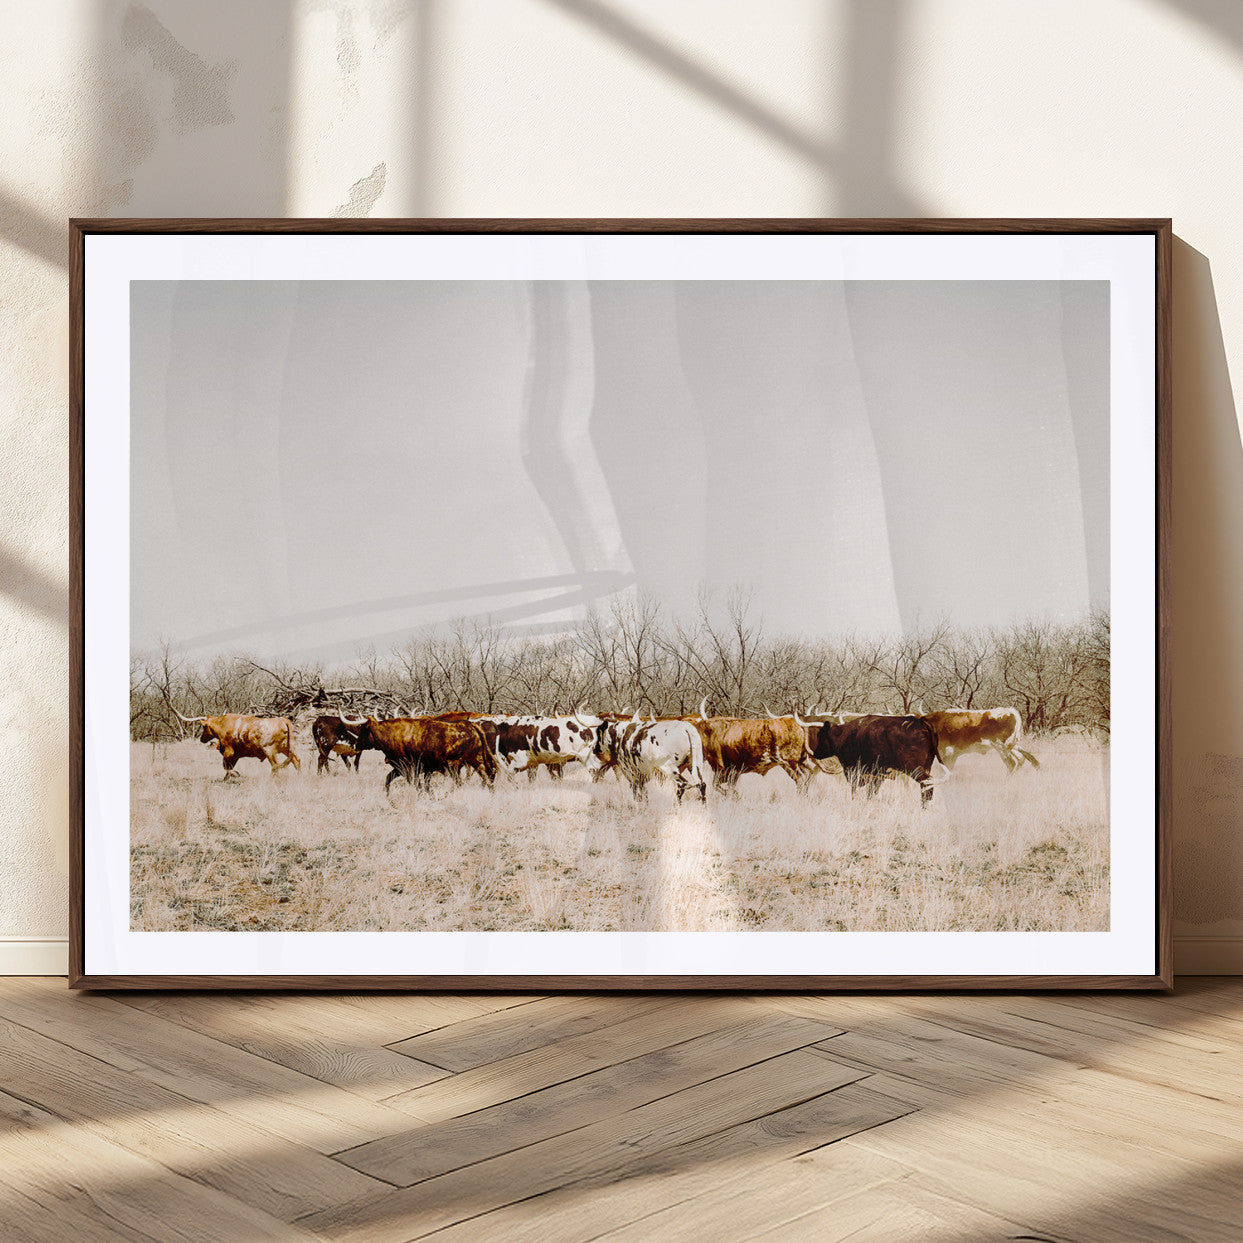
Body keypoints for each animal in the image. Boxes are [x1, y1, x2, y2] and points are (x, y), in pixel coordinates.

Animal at [341, 714, 496, 793]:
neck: (392, 734)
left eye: (362, 729)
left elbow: (417, 785)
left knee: (461, 783)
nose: (356, 744)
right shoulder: (401, 768)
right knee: (487, 778)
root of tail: (469, 724)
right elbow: (388, 779)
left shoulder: (408, 768)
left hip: (454, 766)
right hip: (477, 762)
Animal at [807, 713, 946, 807]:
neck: (845, 735)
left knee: (927, 783)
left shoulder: (856, 773)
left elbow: (857, 791)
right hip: (926, 767)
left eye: (821, 736)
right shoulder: (877, 776)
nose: (816, 753)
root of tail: (920, 722)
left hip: (915, 769)